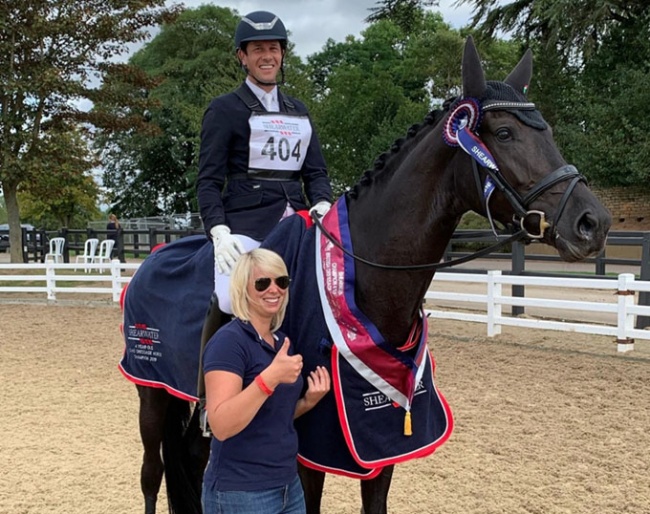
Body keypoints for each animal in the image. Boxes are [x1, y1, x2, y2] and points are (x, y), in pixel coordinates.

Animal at [120, 37, 608, 512]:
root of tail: (154, 256)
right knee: (152, 474)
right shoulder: (307, 449)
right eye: (504, 133)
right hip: (152, 395)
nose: (593, 223)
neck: (369, 282)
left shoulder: (383, 442)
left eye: (549, 133)